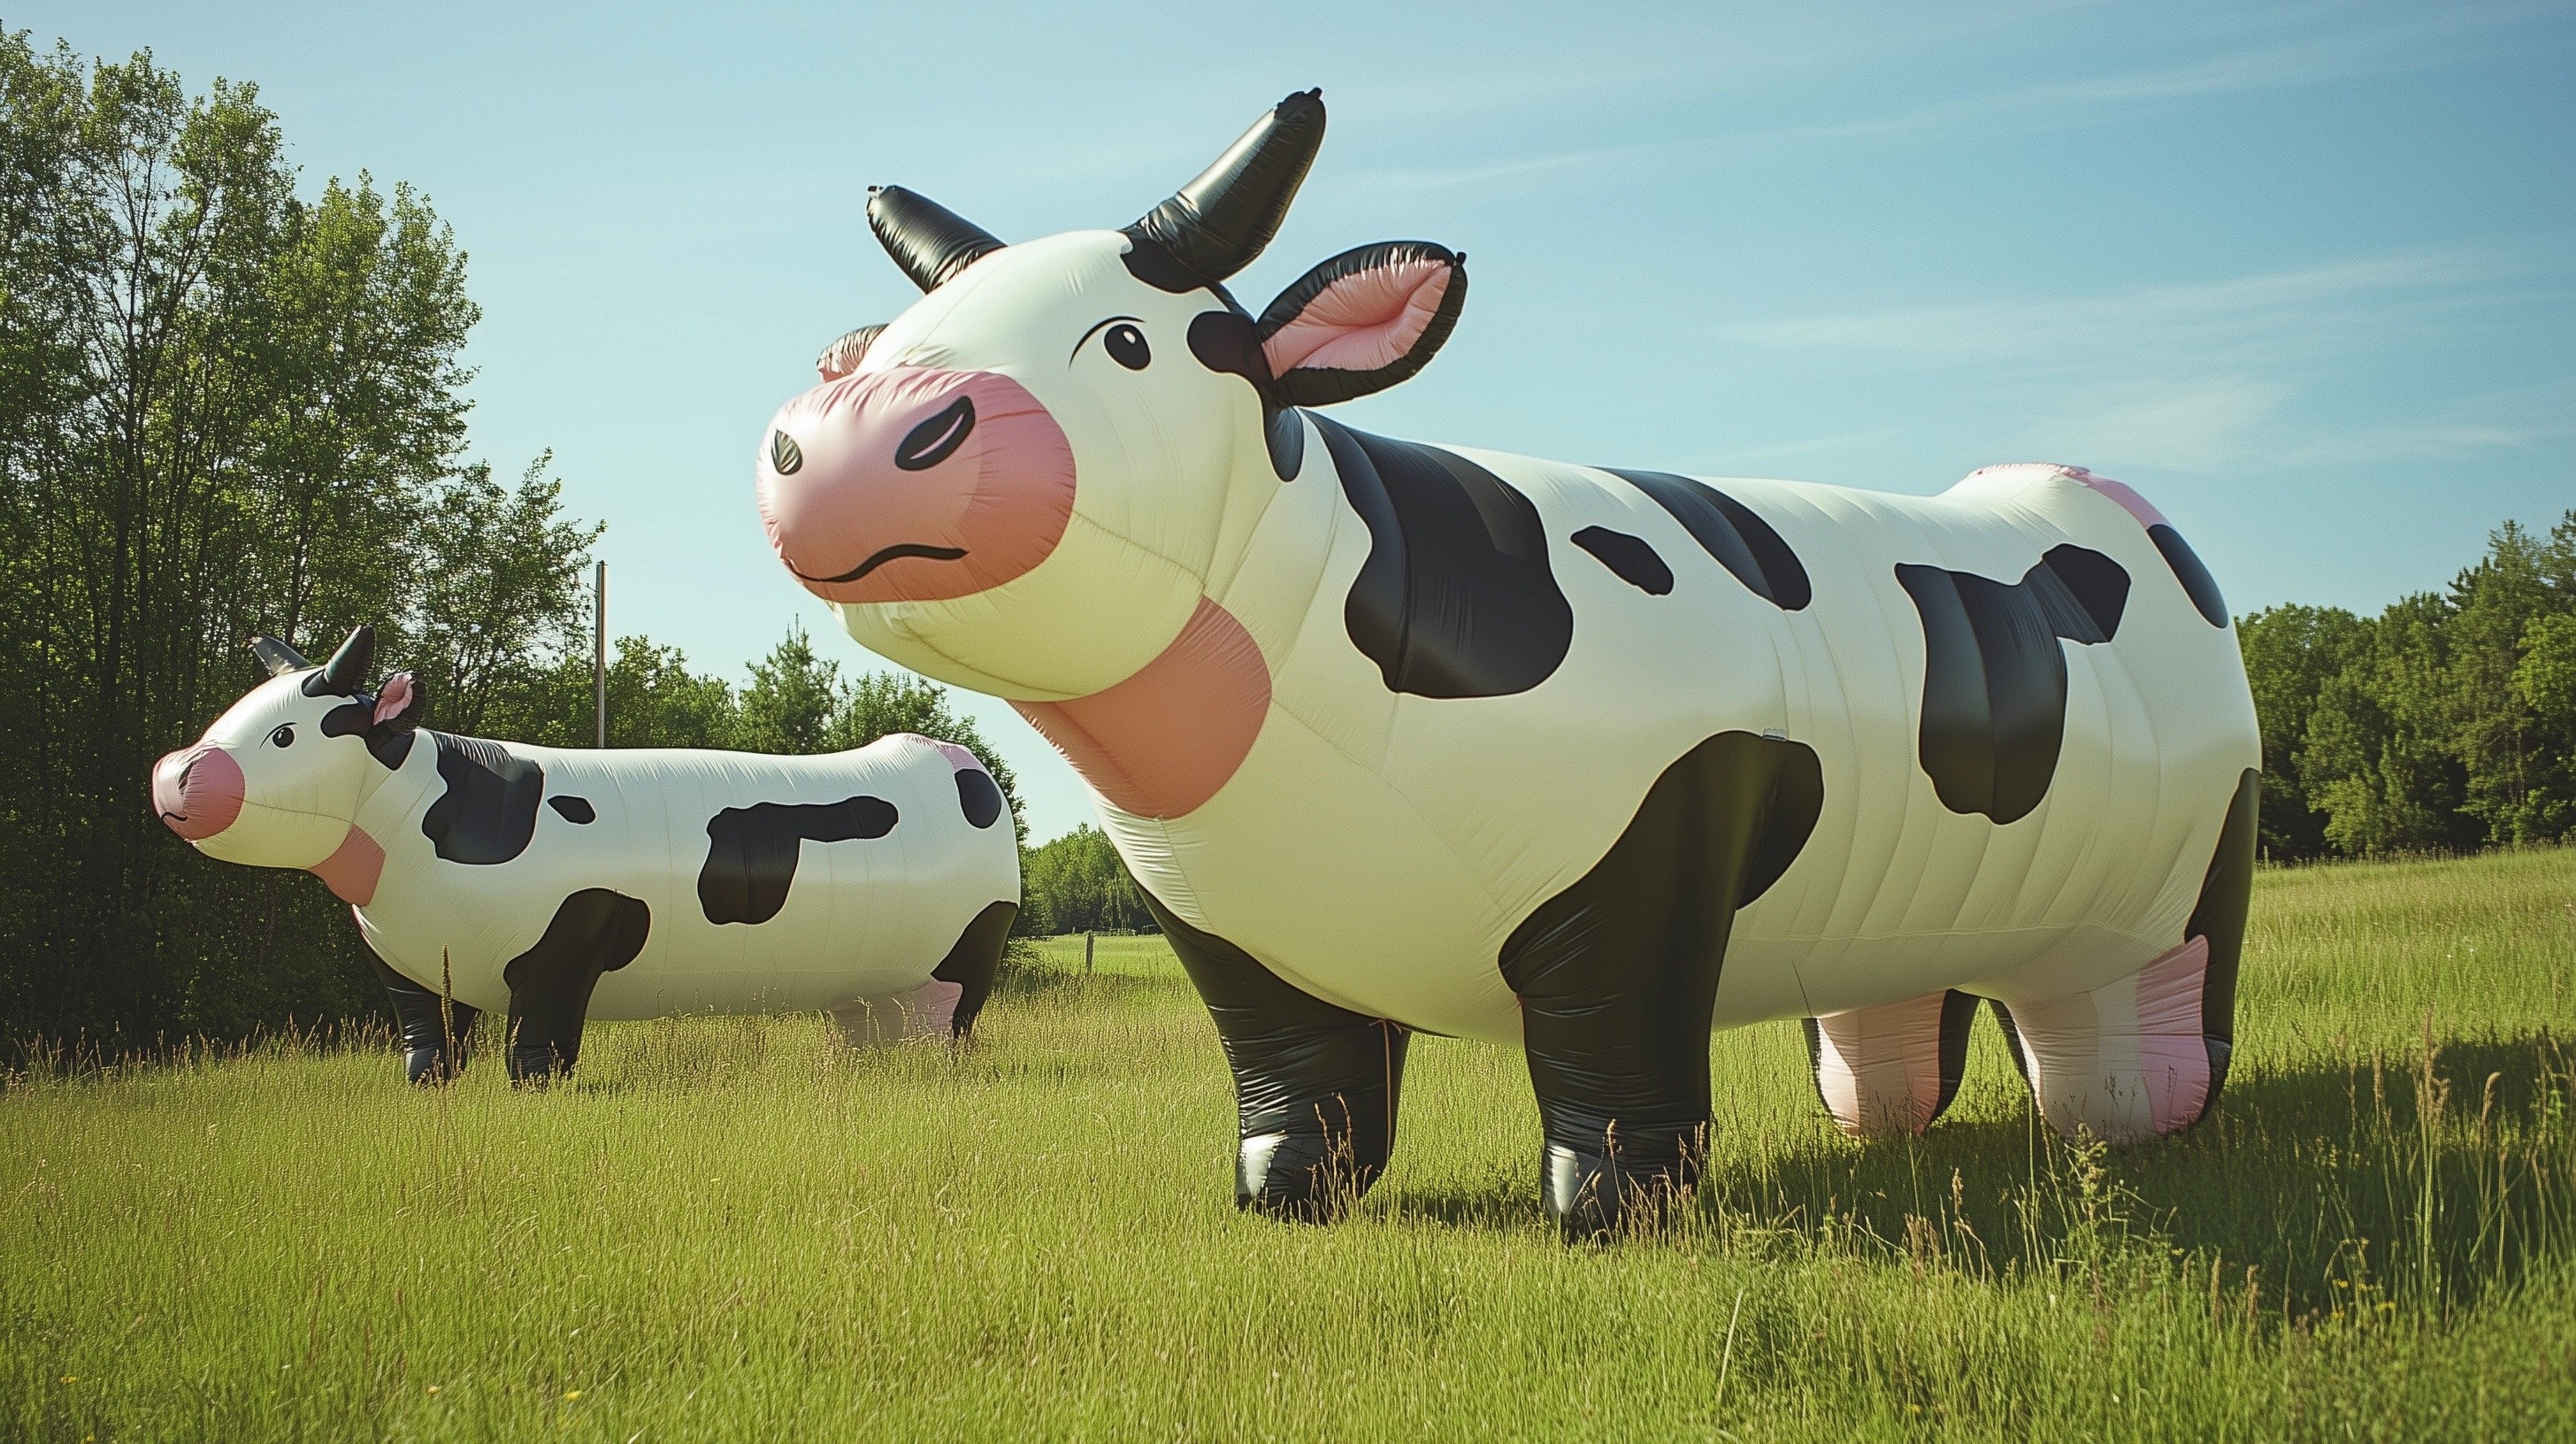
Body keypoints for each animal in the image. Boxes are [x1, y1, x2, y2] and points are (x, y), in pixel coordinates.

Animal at [151, 626, 1021, 1085]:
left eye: (285, 734)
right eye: (235, 713)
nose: (178, 775)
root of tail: (961, 760)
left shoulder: (570, 936)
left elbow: (541, 1029)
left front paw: (536, 1086)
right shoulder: (402, 956)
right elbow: (427, 1030)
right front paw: (429, 1084)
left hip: (973, 946)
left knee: (950, 1015)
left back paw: (929, 1070)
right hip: (871, 977)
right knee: (866, 1018)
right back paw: (859, 1069)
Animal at [754, 91, 2261, 1236]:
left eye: (1127, 340)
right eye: (881, 347)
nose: (854, 434)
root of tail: (2074, 489)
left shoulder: (1654, 853)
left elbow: (1614, 1057)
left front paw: (1611, 1213)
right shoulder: (1226, 925)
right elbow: (1300, 1082)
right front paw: (1287, 1196)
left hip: (2196, 861)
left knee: (2147, 1001)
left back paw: (2130, 1121)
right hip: (1912, 898)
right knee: (1893, 992)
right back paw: (1877, 1116)